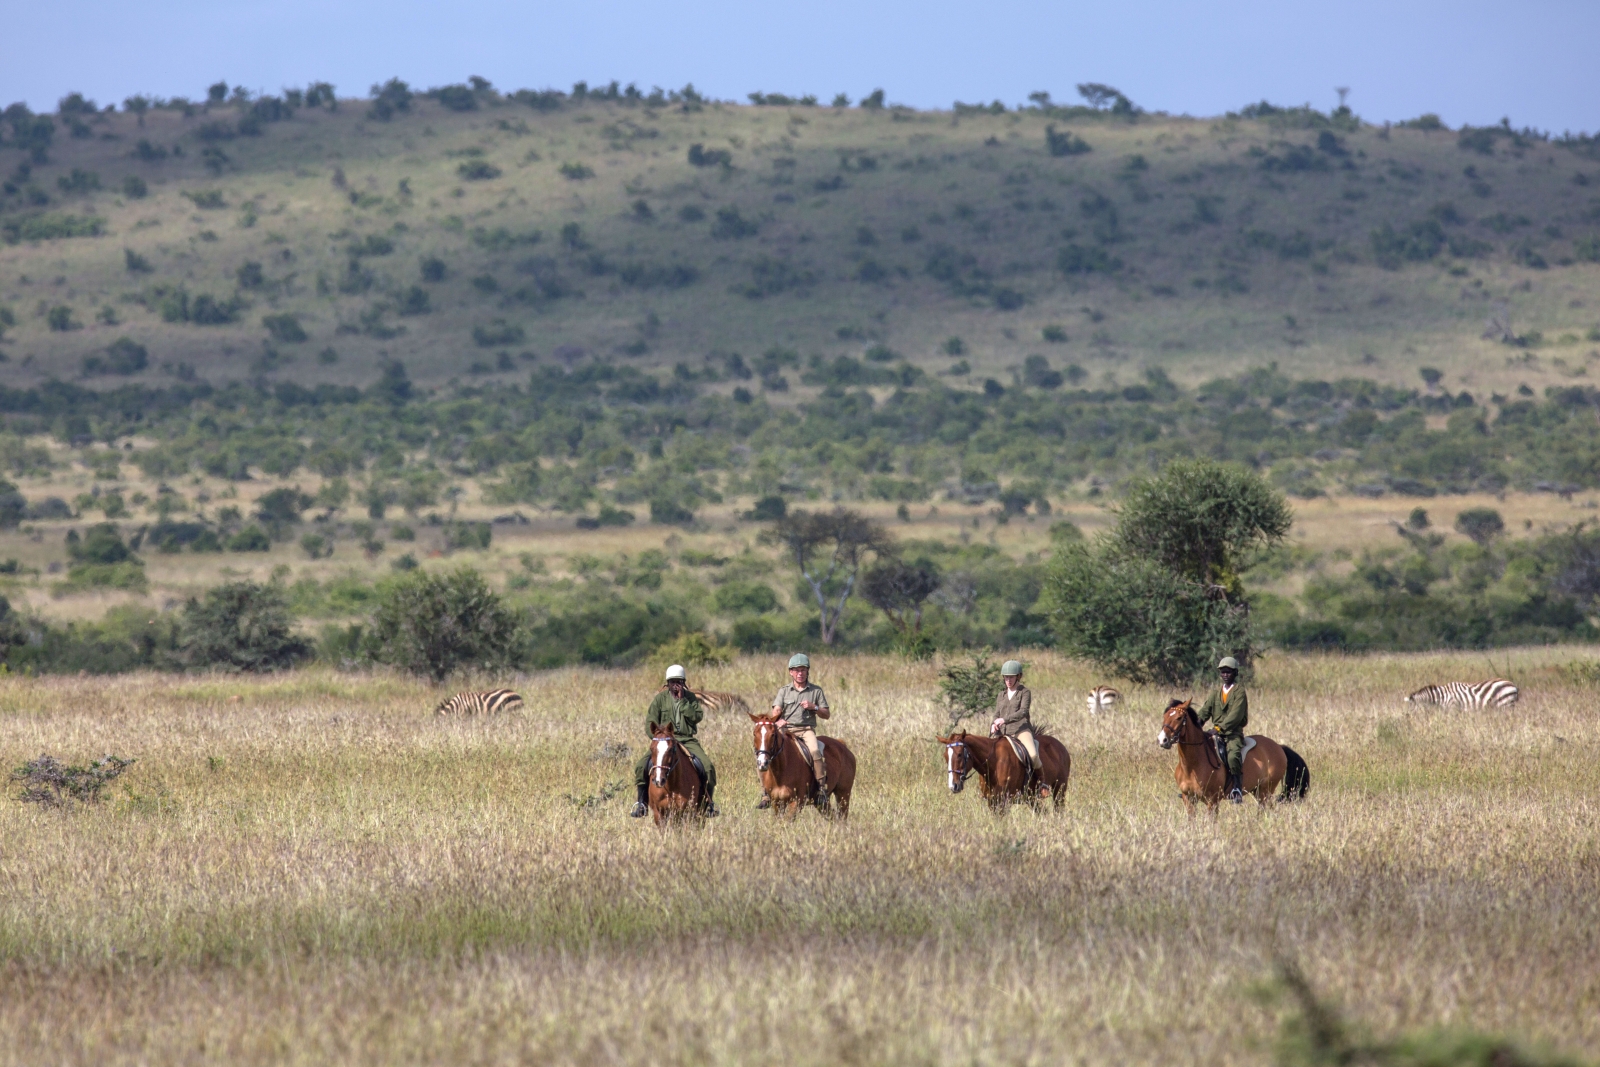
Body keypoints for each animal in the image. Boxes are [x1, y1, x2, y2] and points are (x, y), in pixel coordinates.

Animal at [936, 730, 1071, 812]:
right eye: (945, 756)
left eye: (959, 754)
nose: (954, 786)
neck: (993, 763)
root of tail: (1061, 747)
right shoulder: (992, 801)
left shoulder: (1004, 801)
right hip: (1031, 798)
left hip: (1059, 790)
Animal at [1156, 699, 1310, 816]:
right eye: (1164, 717)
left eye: (1179, 718)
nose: (1162, 740)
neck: (1192, 764)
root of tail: (1279, 746)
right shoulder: (1188, 799)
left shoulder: (1212, 800)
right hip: (1258, 791)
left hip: (1266, 790)